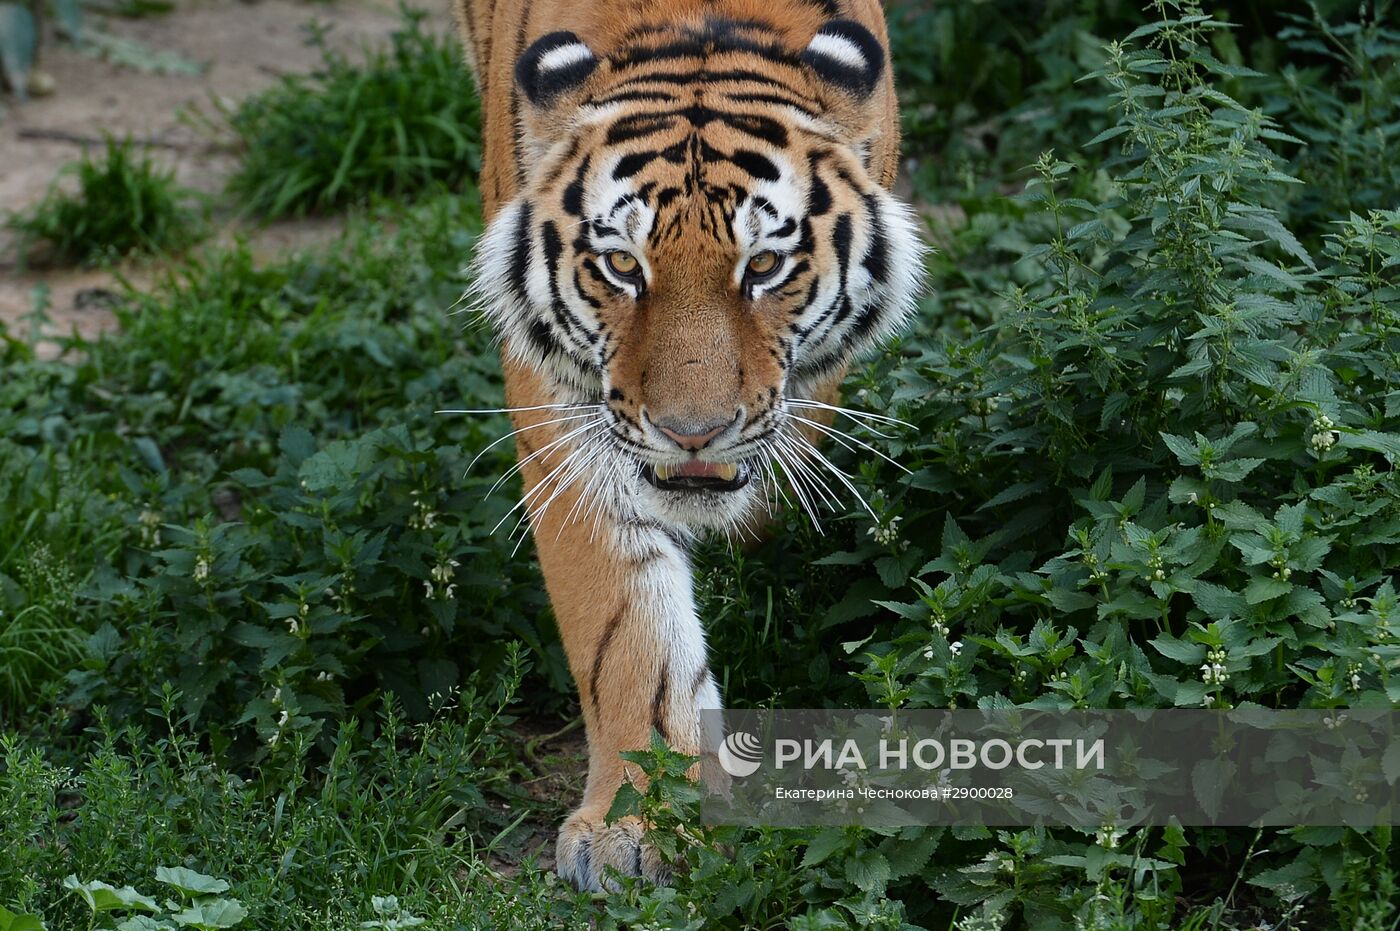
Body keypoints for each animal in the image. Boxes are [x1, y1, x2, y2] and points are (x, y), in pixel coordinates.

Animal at [453, 0, 924, 890]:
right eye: (620, 264)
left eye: (765, 265)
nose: (692, 432)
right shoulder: (567, 414)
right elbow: (627, 629)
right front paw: (640, 821)